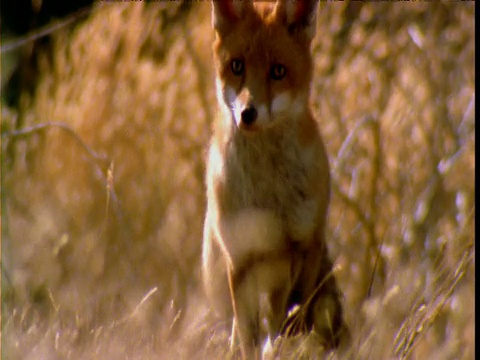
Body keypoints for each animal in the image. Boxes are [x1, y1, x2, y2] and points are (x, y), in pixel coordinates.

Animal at [202, 0, 344, 358]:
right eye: (237, 66)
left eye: (278, 71)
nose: (247, 114)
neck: (268, 194)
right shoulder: (240, 260)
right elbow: (250, 339)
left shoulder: (304, 247)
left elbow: (290, 324)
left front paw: (285, 345)